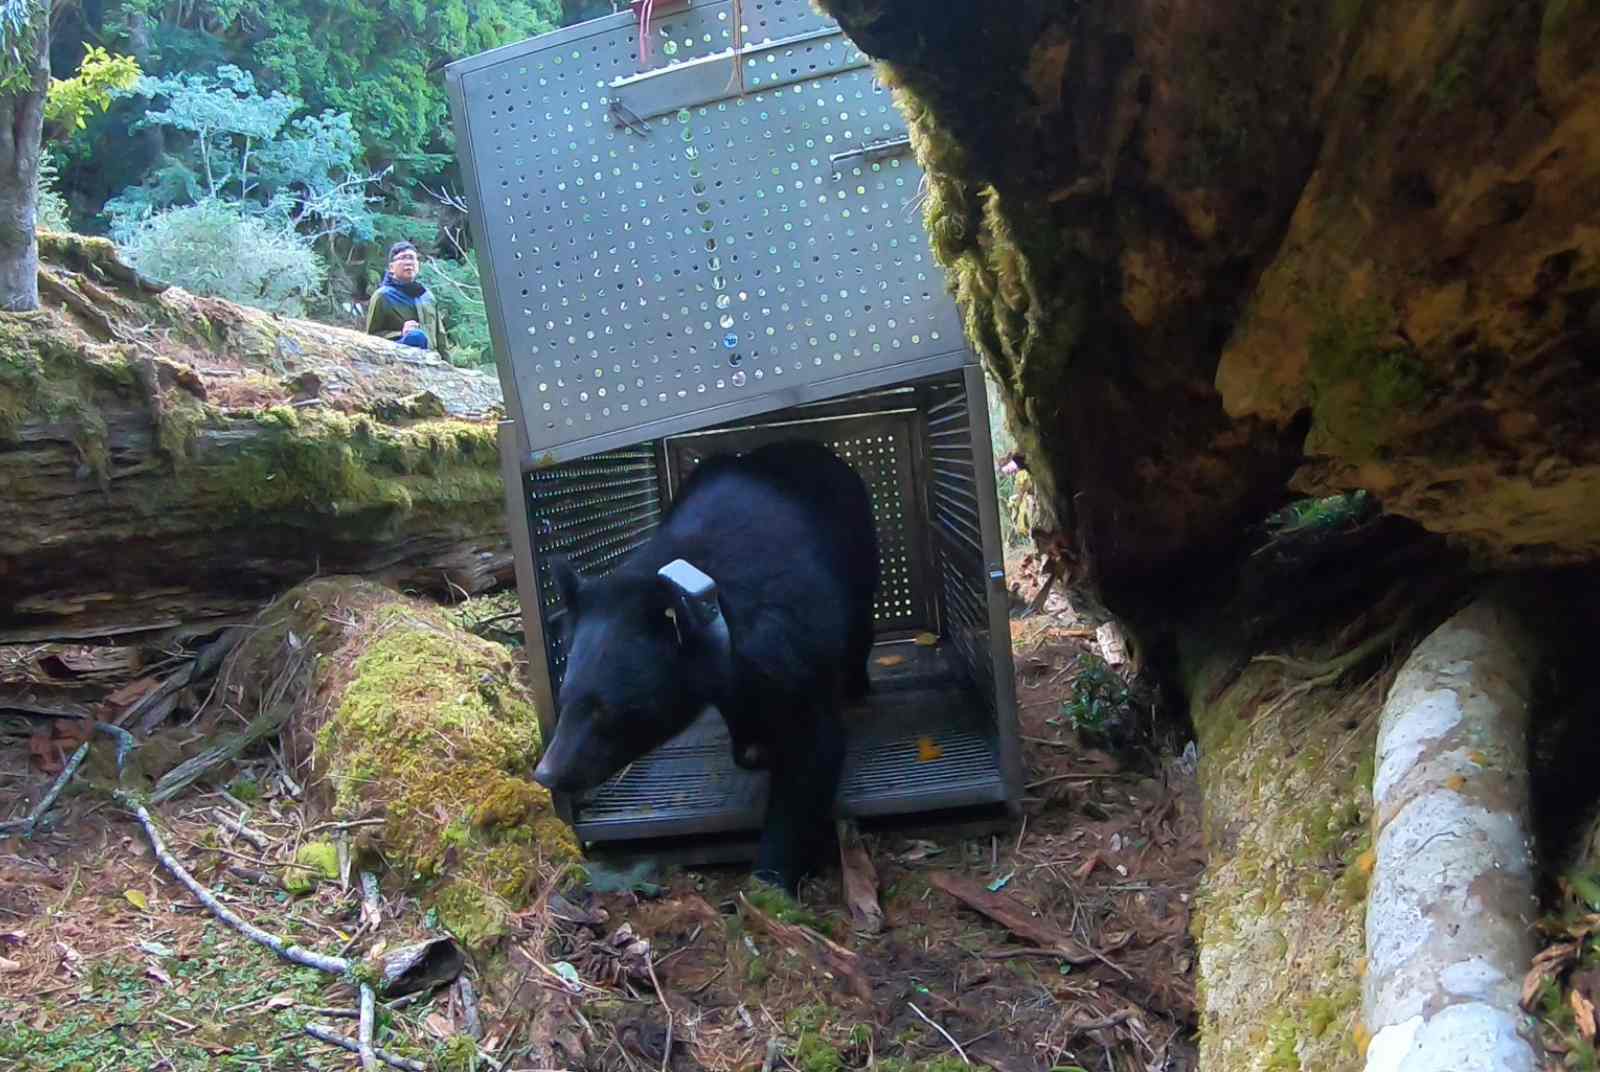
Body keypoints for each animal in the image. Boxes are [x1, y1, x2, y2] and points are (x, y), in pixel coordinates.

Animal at [531, 438, 881, 892]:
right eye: (565, 694)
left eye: (606, 709)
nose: (546, 774)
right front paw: (752, 746)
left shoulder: (797, 641)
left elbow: (812, 752)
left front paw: (770, 879)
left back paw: (858, 684)